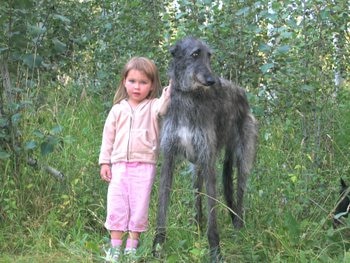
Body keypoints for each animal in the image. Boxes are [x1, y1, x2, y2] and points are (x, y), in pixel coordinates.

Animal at [153, 36, 258, 262]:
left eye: (209, 56)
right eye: (194, 54)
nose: (213, 81)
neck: (189, 96)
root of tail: (241, 92)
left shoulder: (208, 159)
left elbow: (213, 215)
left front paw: (215, 252)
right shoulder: (169, 158)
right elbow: (162, 208)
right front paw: (157, 247)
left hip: (242, 155)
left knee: (240, 191)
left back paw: (239, 228)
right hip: (196, 167)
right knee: (197, 198)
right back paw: (197, 228)